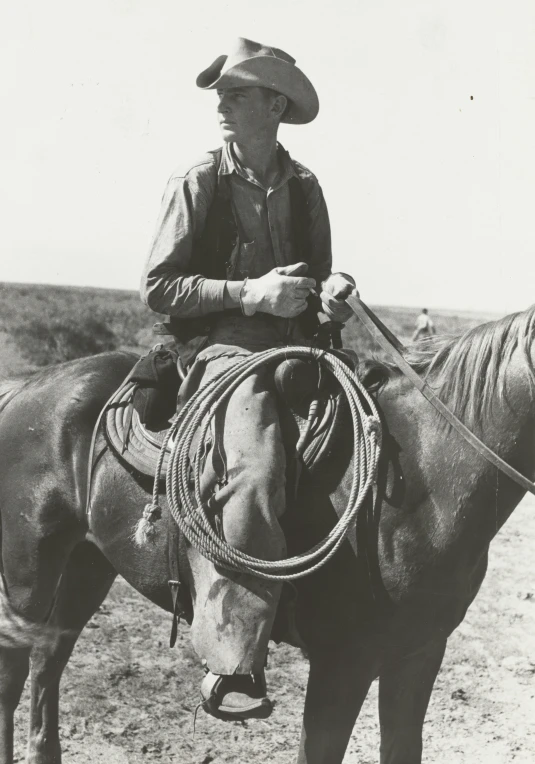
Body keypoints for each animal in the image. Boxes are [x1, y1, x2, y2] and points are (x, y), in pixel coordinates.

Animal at [0, 302, 532, 760]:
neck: (423, 472)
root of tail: (25, 387)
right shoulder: (343, 662)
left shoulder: (419, 654)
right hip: (29, 569)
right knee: (14, 671)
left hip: (87, 563)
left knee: (48, 659)